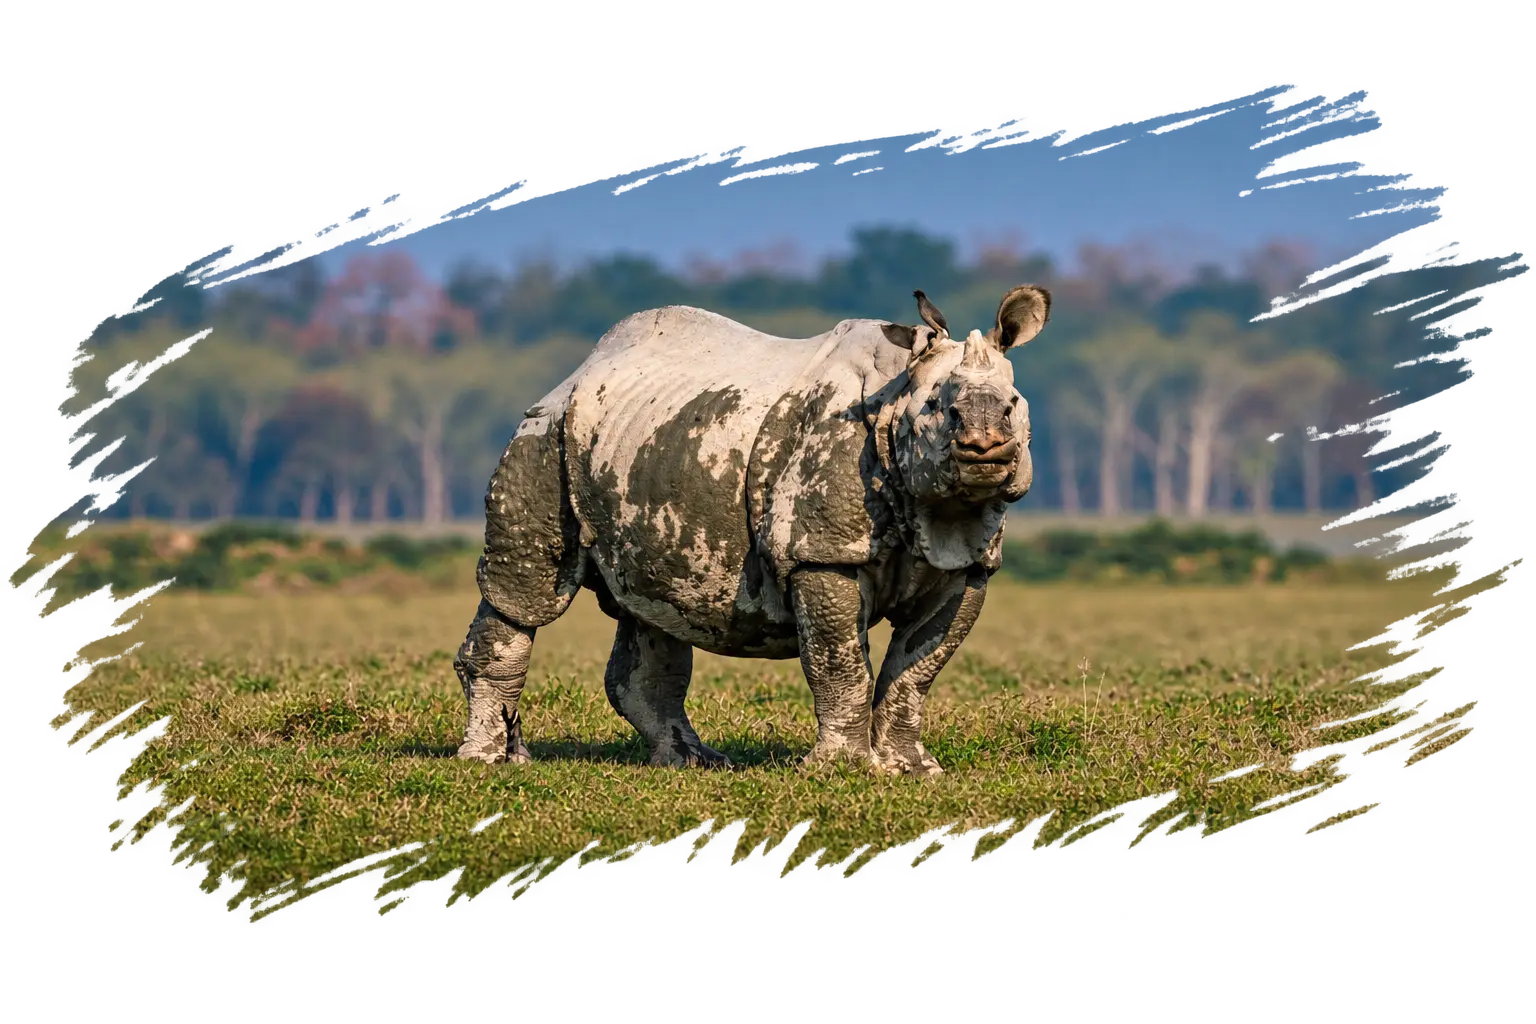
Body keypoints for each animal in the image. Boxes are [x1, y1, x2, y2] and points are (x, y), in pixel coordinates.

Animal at [453, 284, 1051, 776]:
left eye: (1015, 405)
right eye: (936, 409)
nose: (984, 443)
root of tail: (577, 373)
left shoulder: (967, 565)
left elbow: (915, 668)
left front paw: (913, 770)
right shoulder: (819, 552)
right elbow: (840, 661)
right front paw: (846, 771)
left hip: (639, 443)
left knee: (652, 610)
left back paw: (692, 761)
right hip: (542, 433)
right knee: (528, 597)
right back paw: (493, 761)